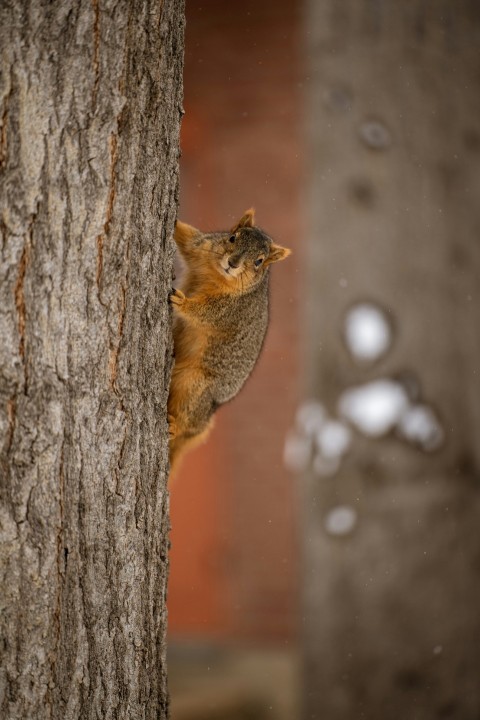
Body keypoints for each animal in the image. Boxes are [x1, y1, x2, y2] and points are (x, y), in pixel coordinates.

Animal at [167, 208, 291, 477]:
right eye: (232, 237)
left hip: (195, 386)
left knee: (188, 420)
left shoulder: (229, 310)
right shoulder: (201, 247)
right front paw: (174, 222)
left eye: (259, 261)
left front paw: (182, 303)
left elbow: (205, 313)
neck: (216, 274)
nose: (232, 263)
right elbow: (186, 237)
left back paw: (173, 425)